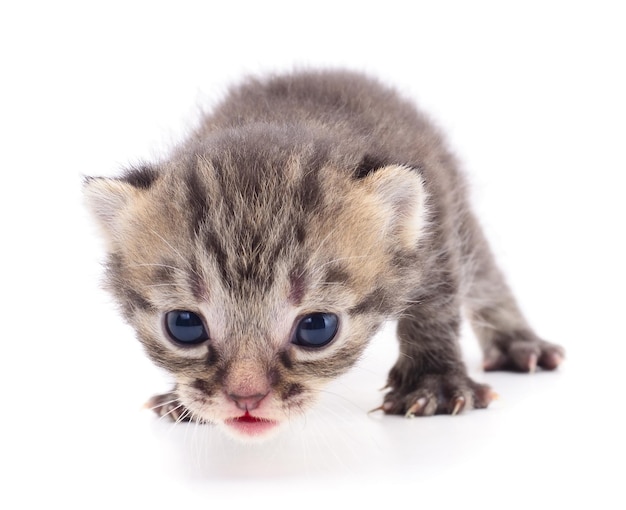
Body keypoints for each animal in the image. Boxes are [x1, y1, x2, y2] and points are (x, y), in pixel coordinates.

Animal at [81, 69, 560, 440]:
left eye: (317, 328)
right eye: (183, 325)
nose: (246, 397)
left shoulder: (434, 226)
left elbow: (436, 304)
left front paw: (434, 383)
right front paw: (180, 399)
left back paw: (521, 345)